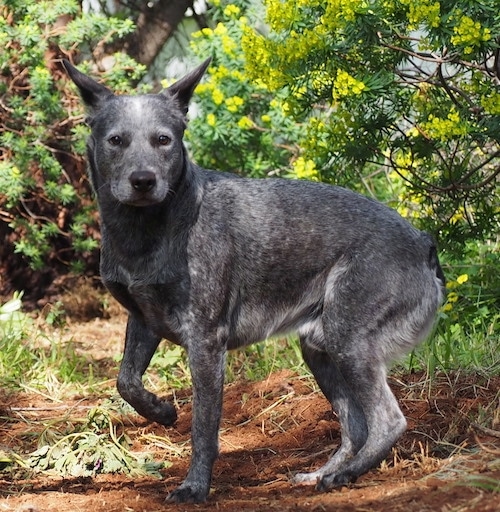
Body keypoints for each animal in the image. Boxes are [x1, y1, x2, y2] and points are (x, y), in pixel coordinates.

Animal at [63, 58, 446, 502]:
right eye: (116, 141)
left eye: (163, 140)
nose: (144, 180)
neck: (147, 230)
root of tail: (424, 242)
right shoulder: (143, 319)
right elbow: (126, 381)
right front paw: (162, 411)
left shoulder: (206, 342)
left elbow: (203, 429)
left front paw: (195, 487)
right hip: (319, 350)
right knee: (355, 427)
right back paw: (324, 474)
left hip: (349, 340)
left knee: (387, 420)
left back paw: (347, 474)